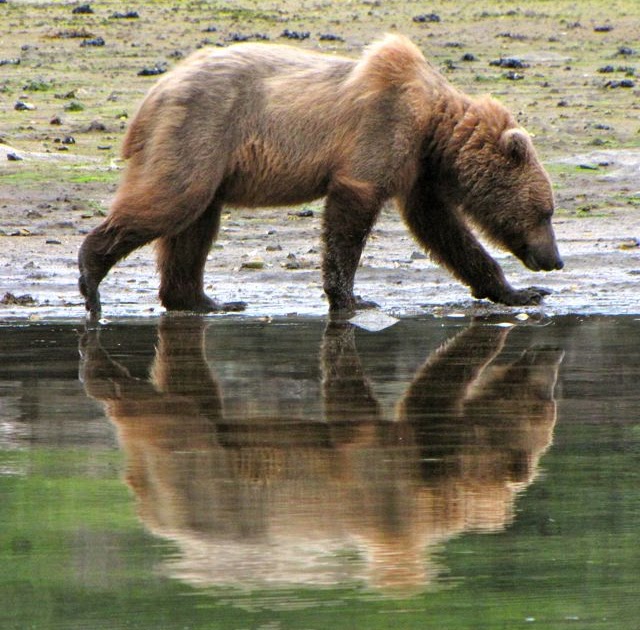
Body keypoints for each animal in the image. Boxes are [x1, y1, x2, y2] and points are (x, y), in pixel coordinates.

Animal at [78, 34, 563, 318]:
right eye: (547, 211)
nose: (555, 260)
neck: (435, 129)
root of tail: (153, 94)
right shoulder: (381, 130)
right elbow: (351, 217)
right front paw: (351, 297)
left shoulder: (418, 169)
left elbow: (444, 230)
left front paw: (519, 292)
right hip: (200, 130)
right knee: (174, 200)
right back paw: (91, 275)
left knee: (194, 226)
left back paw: (206, 300)